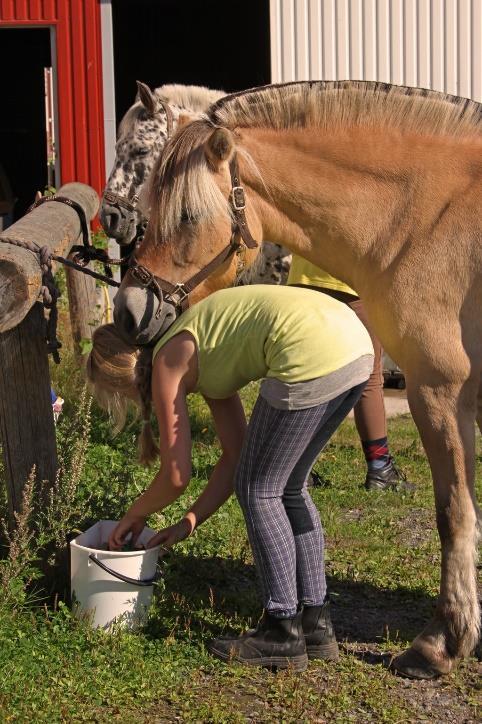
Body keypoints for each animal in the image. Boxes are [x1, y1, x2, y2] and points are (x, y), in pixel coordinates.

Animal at [114, 80, 482, 680]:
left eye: (188, 215)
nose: (127, 310)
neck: (429, 216)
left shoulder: (440, 393)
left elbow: (454, 515)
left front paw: (440, 643)